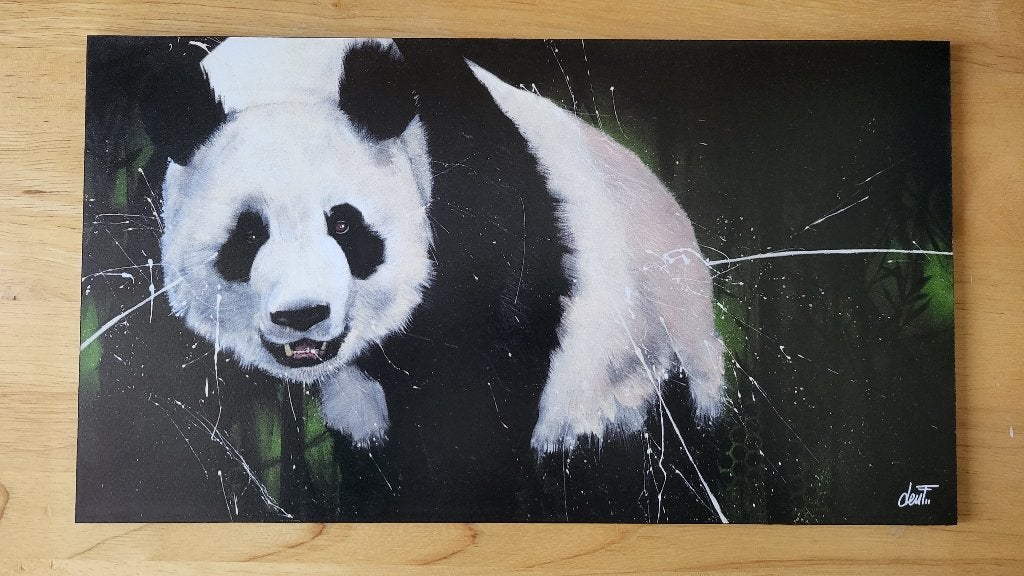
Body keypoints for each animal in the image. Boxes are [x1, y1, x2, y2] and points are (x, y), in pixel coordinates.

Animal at [150, 37, 724, 520]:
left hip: (638, 364)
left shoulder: (482, 202)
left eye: (344, 224)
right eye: (248, 234)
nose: (303, 315)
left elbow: (477, 393)